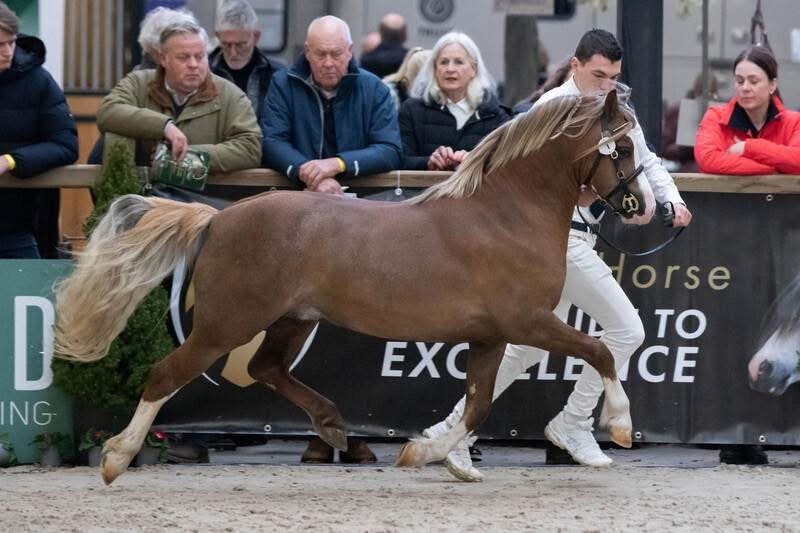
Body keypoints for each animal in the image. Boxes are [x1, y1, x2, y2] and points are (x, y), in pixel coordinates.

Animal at [54, 90, 651, 485]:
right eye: (622, 149)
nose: (644, 208)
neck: (504, 216)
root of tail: (217, 218)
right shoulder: (527, 322)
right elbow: (599, 351)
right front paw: (621, 427)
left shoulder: (491, 335)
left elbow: (478, 403)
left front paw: (426, 453)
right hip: (228, 324)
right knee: (167, 374)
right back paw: (116, 458)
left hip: (292, 321)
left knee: (266, 368)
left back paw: (335, 426)